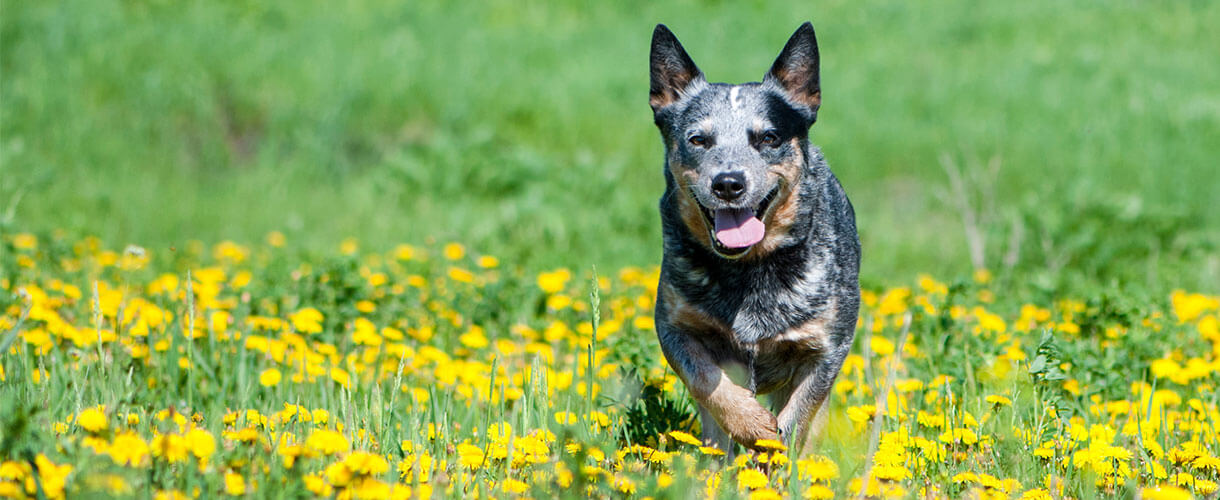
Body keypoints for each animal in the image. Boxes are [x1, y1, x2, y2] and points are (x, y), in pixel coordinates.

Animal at [653, 21, 863, 456]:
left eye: (768, 138)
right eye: (698, 139)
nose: (728, 183)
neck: (749, 270)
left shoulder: (827, 349)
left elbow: (798, 417)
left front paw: (774, 450)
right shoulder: (674, 328)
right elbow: (706, 380)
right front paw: (749, 423)